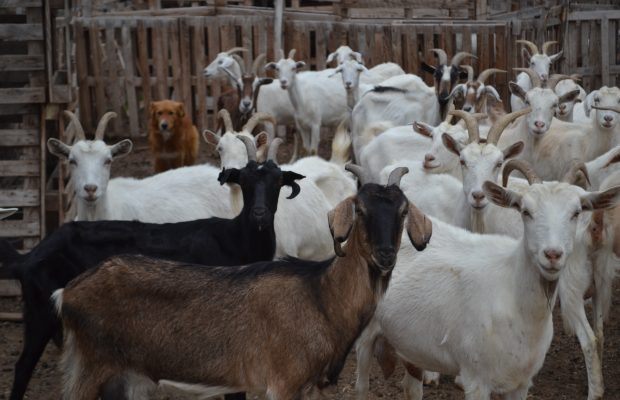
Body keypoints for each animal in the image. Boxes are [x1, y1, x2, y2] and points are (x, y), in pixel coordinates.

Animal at [2, 138, 302, 400]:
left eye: (277, 181)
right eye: (245, 181)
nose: (260, 214)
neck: (235, 237)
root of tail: (31, 255)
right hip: (41, 314)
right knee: (24, 366)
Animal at [53, 165, 432, 400]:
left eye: (402, 212)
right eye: (360, 210)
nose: (385, 255)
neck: (321, 296)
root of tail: (67, 293)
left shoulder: (312, 387)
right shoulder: (283, 381)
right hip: (89, 367)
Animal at [354, 162, 620, 400]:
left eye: (576, 213)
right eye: (526, 211)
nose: (553, 254)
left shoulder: (522, 382)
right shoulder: (476, 378)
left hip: (412, 345)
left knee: (411, 389)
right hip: (365, 336)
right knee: (361, 387)